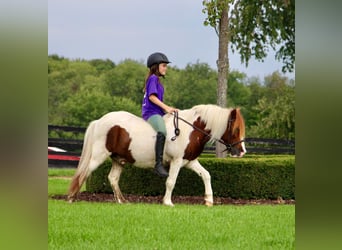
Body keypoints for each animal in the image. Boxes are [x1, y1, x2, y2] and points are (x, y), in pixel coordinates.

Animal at [68, 104, 246, 207]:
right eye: (236, 129)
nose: (242, 151)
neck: (191, 129)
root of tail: (99, 121)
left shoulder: (189, 161)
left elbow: (206, 175)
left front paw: (209, 200)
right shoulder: (176, 161)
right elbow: (171, 181)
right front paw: (167, 202)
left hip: (119, 160)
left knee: (113, 178)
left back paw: (122, 201)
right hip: (98, 156)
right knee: (83, 173)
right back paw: (71, 198)